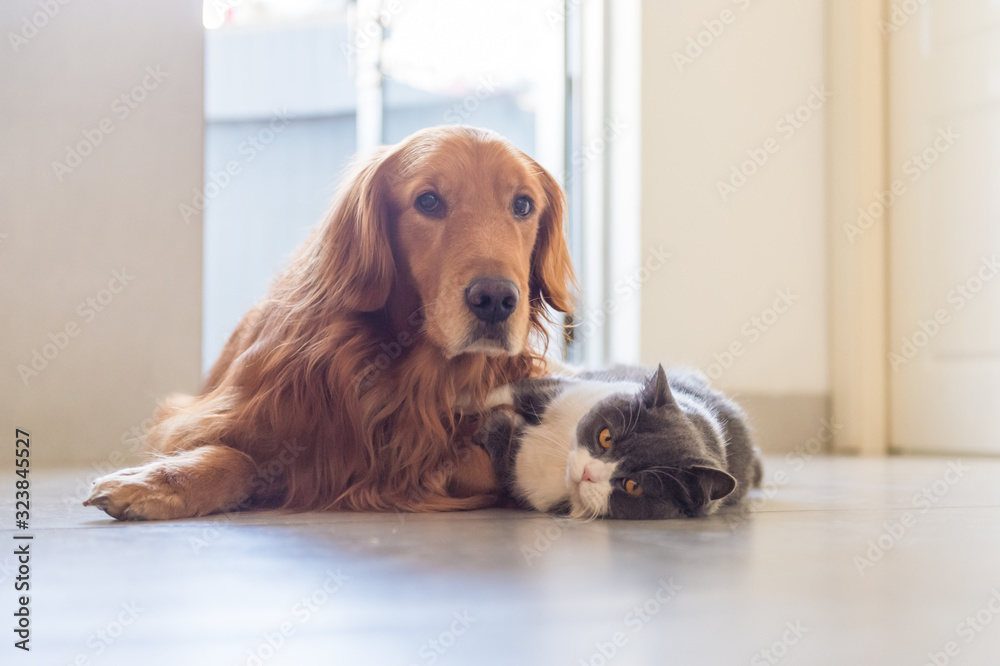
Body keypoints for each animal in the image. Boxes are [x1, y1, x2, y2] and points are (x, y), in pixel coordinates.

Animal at [480, 364, 760, 520]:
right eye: (606, 437)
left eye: (633, 486)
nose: (587, 473)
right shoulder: (559, 390)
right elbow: (504, 392)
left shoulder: (532, 487)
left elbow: (504, 448)